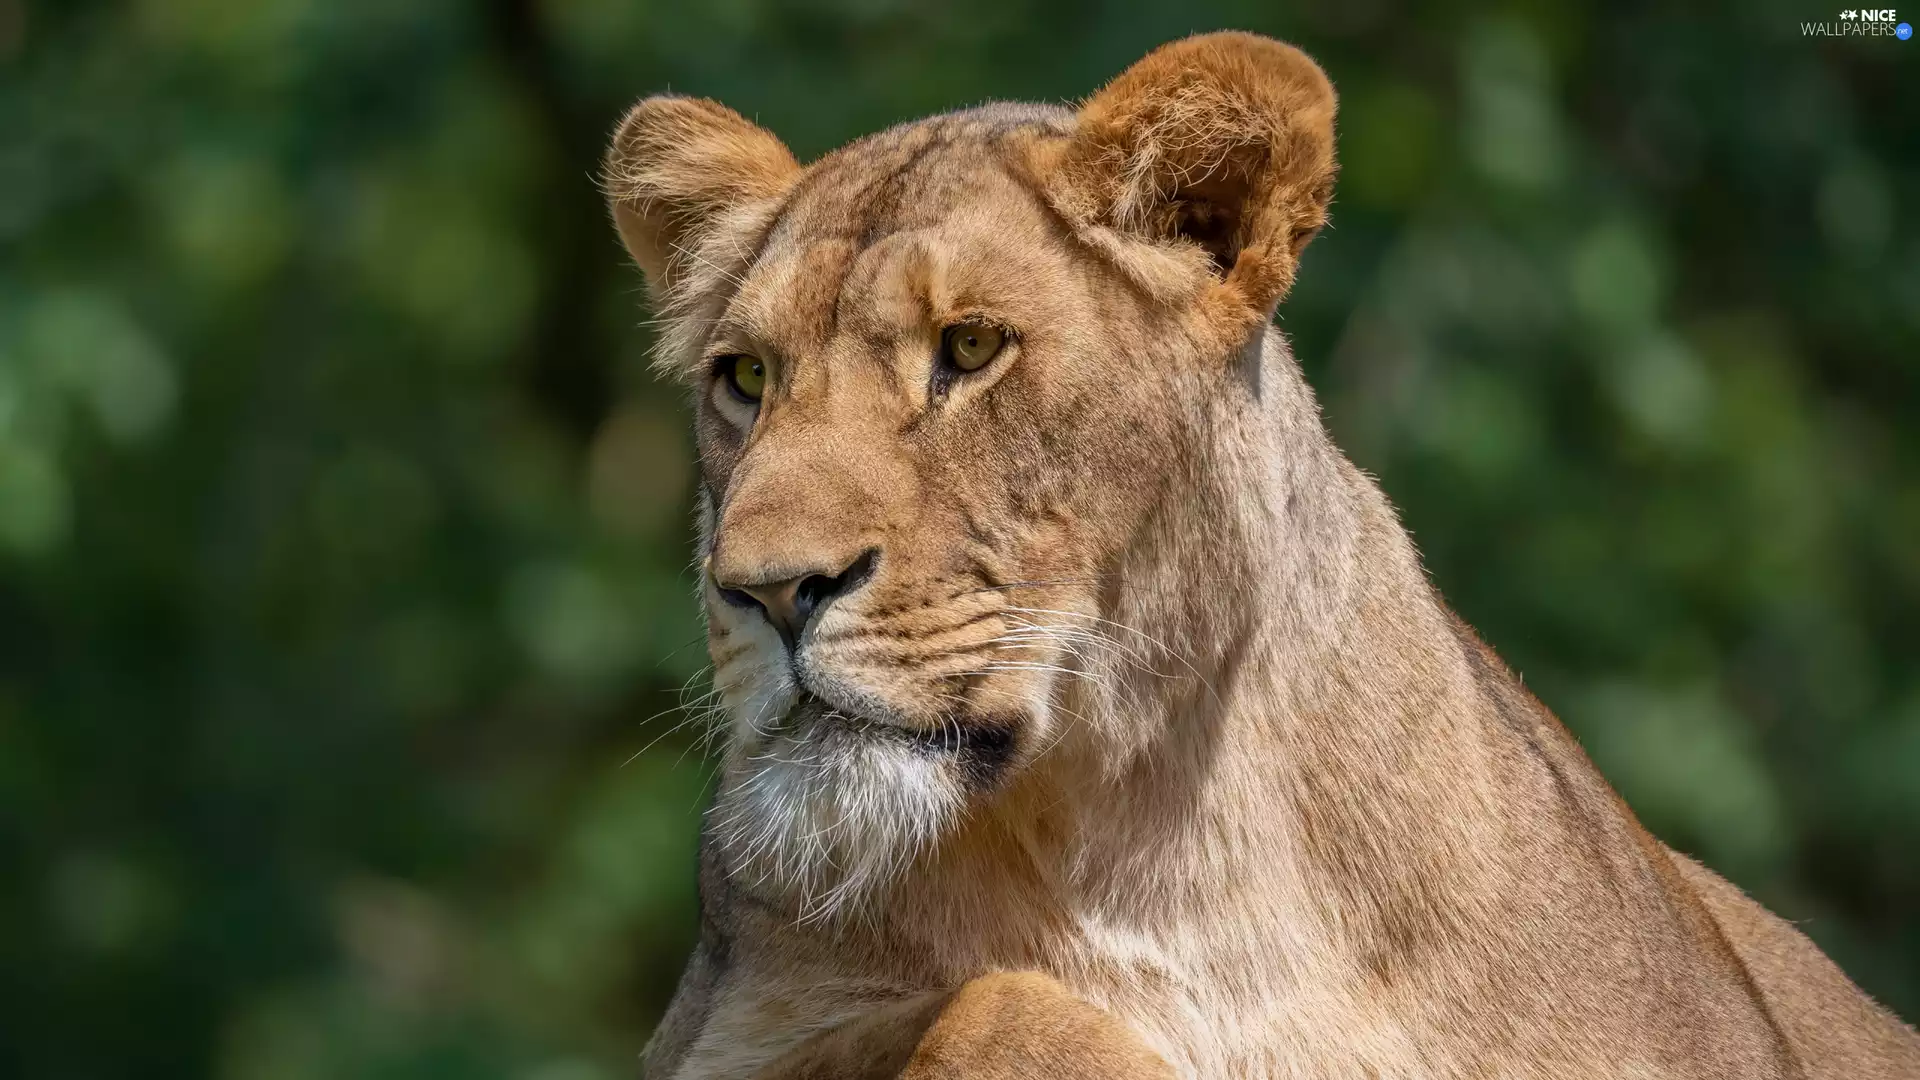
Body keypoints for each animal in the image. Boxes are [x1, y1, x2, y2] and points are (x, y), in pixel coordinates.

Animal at [602, 31, 1920, 1080]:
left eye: (970, 348)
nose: (766, 590)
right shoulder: (728, 1031)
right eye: (746, 378)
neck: (1154, 858)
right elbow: (984, 1006)